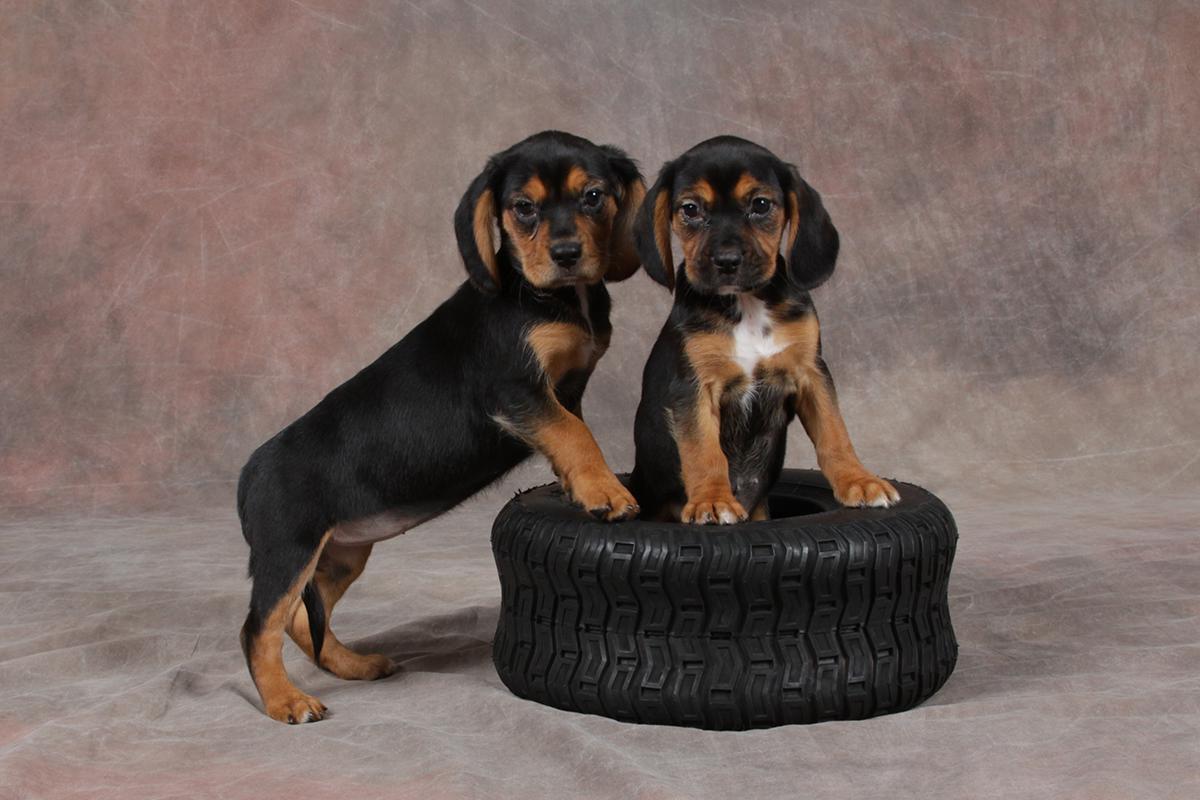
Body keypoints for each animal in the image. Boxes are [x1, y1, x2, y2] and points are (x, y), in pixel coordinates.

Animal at [236, 133, 648, 724]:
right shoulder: (515, 388)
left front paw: (583, 486)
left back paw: (352, 665)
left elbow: (572, 436)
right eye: (523, 207)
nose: (567, 254)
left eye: (593, 196)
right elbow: (573, 434)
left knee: (300, 620)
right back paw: (286, 701)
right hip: (287, 549)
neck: (546, 296)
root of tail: (249, 474)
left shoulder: (566, 390)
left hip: (340, 553)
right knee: (259, 629)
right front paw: (606, 492)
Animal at [633, 136, 897, 525]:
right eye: (691, 209)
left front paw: (859, 481)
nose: (727, 261)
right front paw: (712, 499)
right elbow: (703, 451)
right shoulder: (692, 387)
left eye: (760, 205)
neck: (746, 305)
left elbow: (834, 433)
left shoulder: (811, 372)